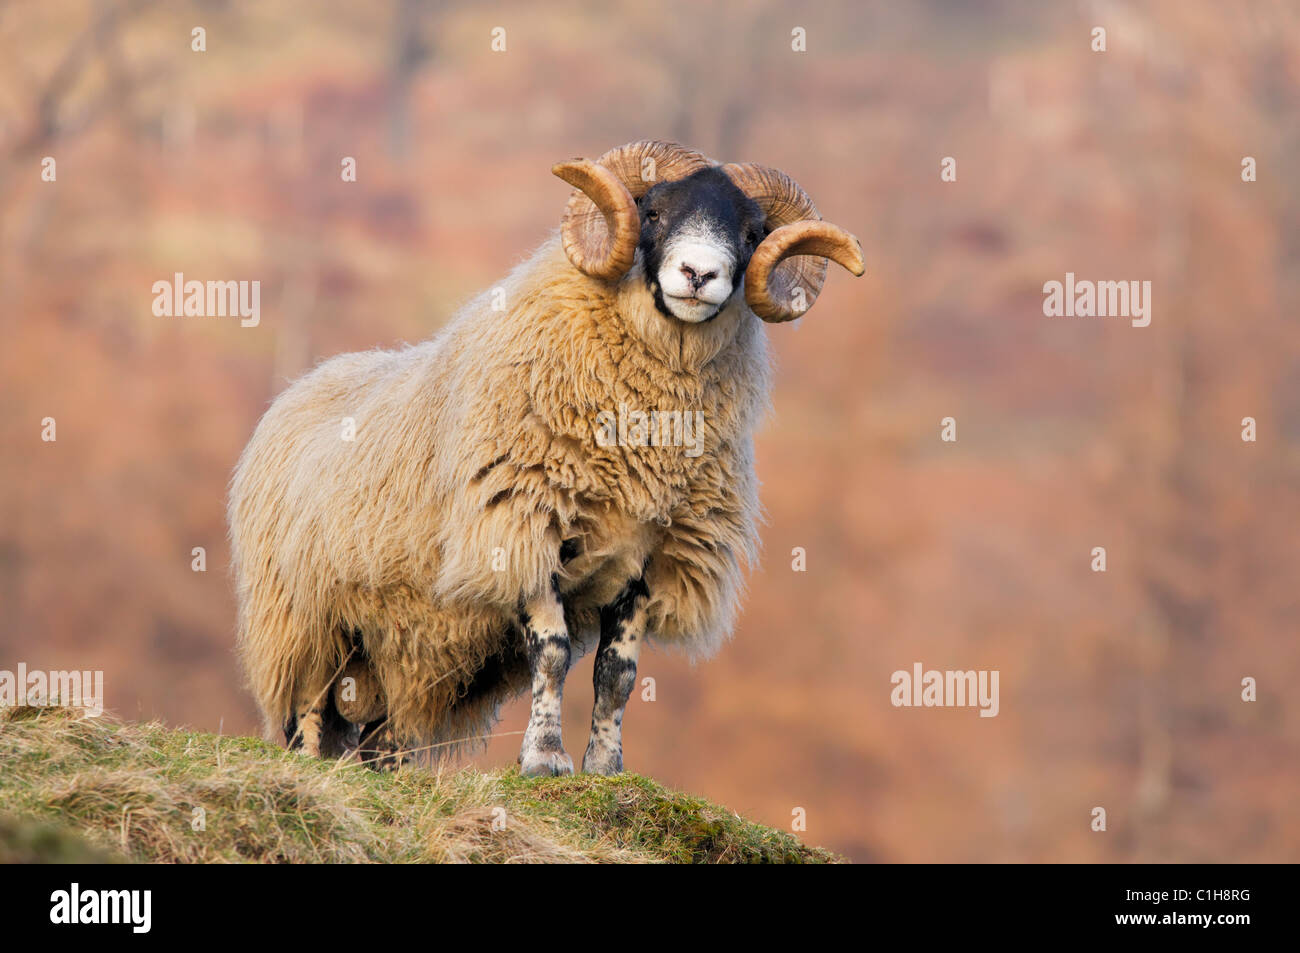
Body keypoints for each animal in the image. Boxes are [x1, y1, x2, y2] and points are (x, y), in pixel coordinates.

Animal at [233, 137, 863, 774]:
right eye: (654, 212)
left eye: (753, 232)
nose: (698, 274)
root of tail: (303, 383)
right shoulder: (522, 524)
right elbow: (554, 653)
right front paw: (544, 758)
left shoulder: (650, 556)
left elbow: (617, 674)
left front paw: (605, 767)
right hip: (308, 627)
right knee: (308, 714)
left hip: (402, 661)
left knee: (378, 740)